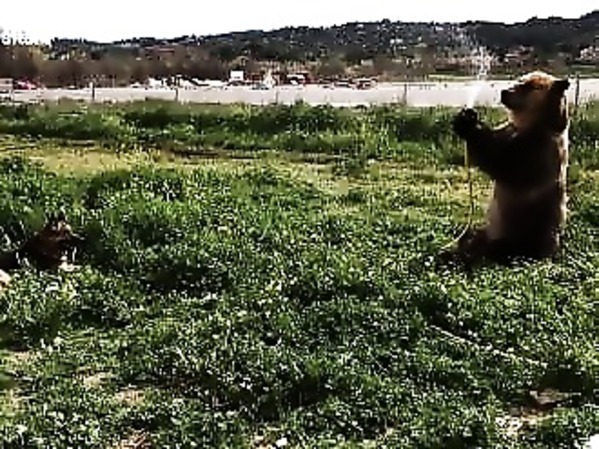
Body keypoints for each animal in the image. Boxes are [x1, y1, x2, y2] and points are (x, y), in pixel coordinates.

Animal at [450, 71, 570, 264]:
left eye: (528, 86)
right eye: (518, 80)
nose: (504, 92)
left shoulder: (539, 151)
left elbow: (505, 163)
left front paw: (468, 123)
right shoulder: (509, 130)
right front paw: (465, 117)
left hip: (532, 227)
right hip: (494, 228)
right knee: (476, 236)